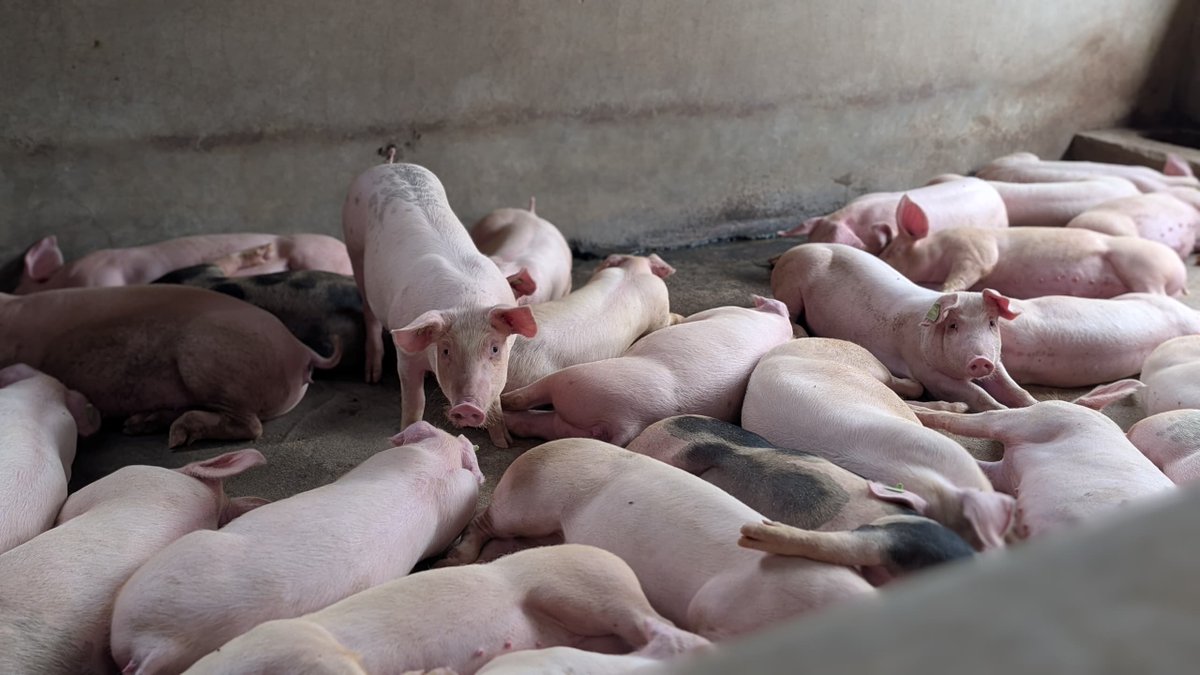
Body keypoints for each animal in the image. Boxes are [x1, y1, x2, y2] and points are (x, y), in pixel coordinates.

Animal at [342, 163, 537, 448]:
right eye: (445, 350)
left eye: (494, 348)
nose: (467, 407)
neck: (467, 303)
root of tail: (391, 165)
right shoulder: (406, 356)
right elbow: (415, 400)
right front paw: (407, 437)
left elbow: (497, 396)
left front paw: (505, 443)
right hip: (354, 246)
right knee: (369, 311)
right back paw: (372, 376)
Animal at [501, 296, 793, 446]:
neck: (776, 324)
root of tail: (629, 421)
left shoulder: (721, 310)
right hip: (567, 423)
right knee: (536, 423)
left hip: (576, 381)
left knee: (528, 397)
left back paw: (504, 401)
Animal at [770, 243, 1036, 411]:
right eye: (953, 325)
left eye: (991, 323)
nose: (980, 360)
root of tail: (791, 251)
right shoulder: (925, 370)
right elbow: (975, 392)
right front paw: (1002, 410)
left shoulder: (996, 359)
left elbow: (1014, 387)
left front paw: (1035, 405)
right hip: (789, 286)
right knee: (790, 312)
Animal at [879, 195, 1187, 299]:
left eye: (893, 252)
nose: (879, 259)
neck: (938, 247)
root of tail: (1181, 272)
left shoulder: (975, 249)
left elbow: (971, 270)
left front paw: (945, 290)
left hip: (1143, 268)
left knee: (1154, 292)